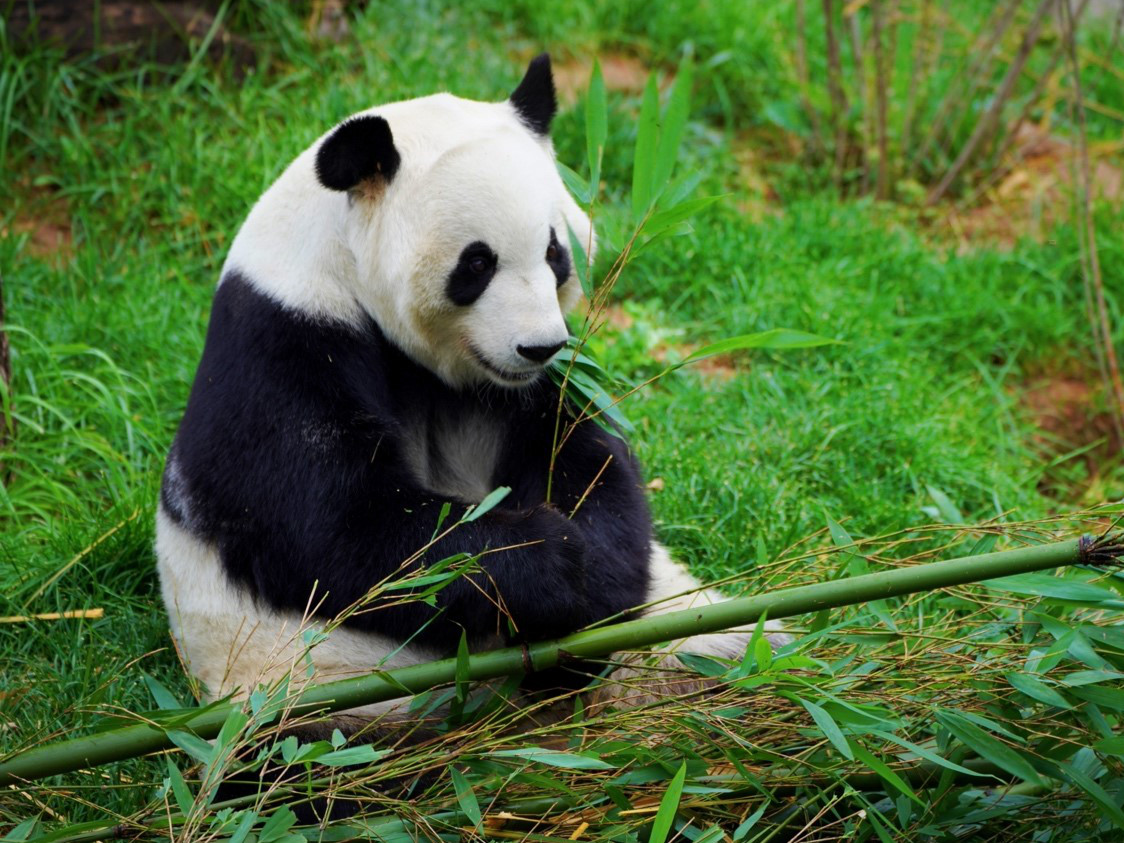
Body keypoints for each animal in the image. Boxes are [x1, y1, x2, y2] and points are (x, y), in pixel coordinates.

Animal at [156, 54, 786, 737]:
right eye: (476, 264)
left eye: (555, 252)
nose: (539, 347)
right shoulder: (284, 336)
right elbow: (347, 531)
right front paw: (554, 562)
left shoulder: (538, 388)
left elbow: (587, 461)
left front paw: (596, 575)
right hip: (313, 696)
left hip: (687, 624)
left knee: (739, 645)